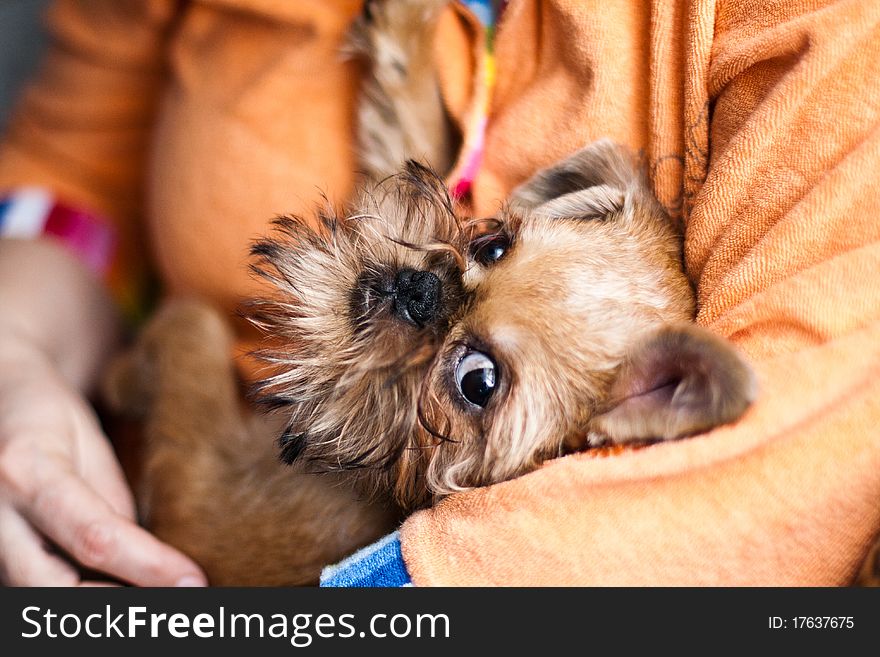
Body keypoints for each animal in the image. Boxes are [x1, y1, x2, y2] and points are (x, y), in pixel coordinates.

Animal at [101, 1, 748, 584]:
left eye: (478, 383)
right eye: (493, 247)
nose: (421, 292)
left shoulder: (195, 479)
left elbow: (184, 333)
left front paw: (120, 375)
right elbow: (418, 134)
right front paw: (407, 32)